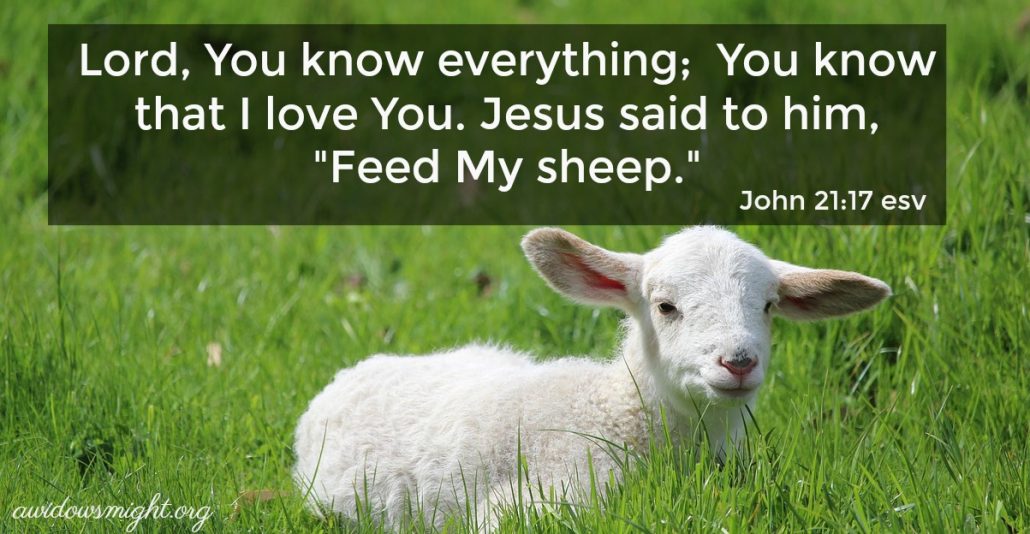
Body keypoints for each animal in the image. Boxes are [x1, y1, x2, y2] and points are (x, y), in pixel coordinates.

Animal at [293, 226, 891, 530]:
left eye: (768, 306)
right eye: (666, 306)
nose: (738, 362)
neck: (618, 414)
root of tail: (354, 371)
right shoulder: (534, 499)